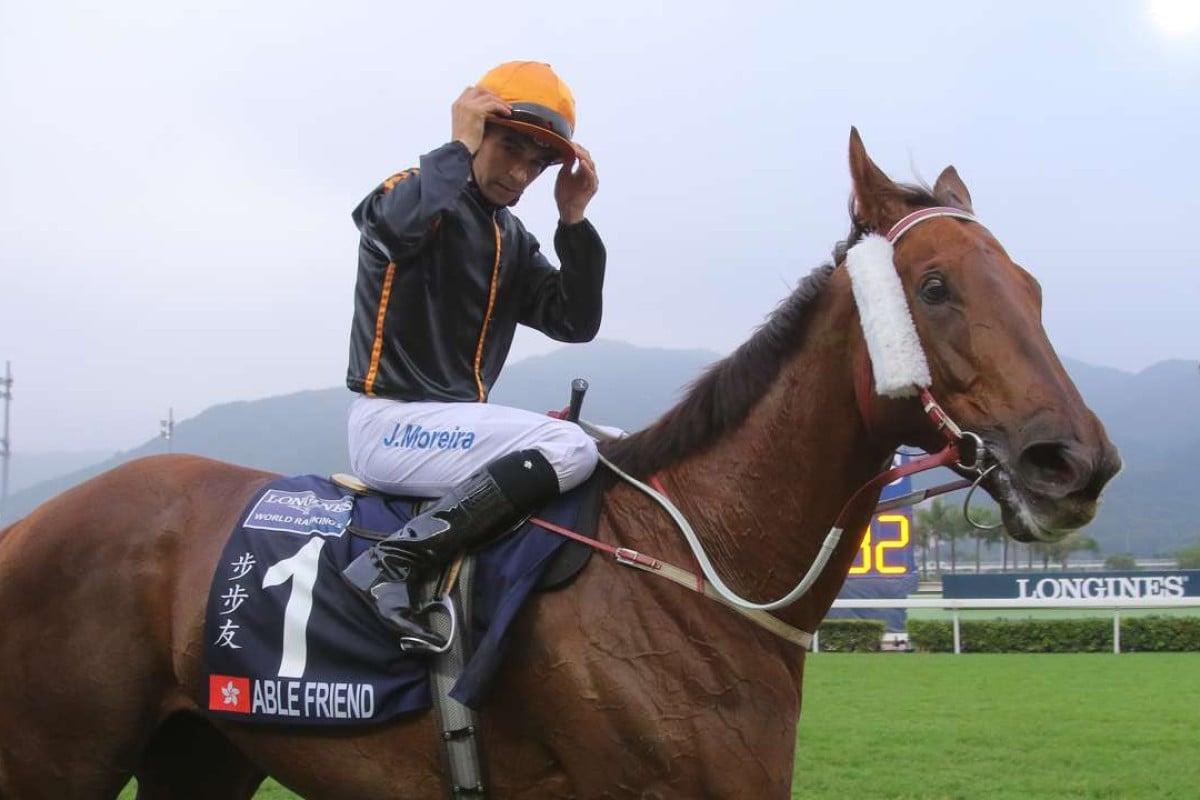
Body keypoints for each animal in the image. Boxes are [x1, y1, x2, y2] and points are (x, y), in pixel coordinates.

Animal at [0, 128, 1118, 796]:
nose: (1077, 461)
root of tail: (35, 520)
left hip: (204, 748)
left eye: (1032, 285)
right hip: (58, 755)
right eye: (934, 287)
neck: (692, 571)